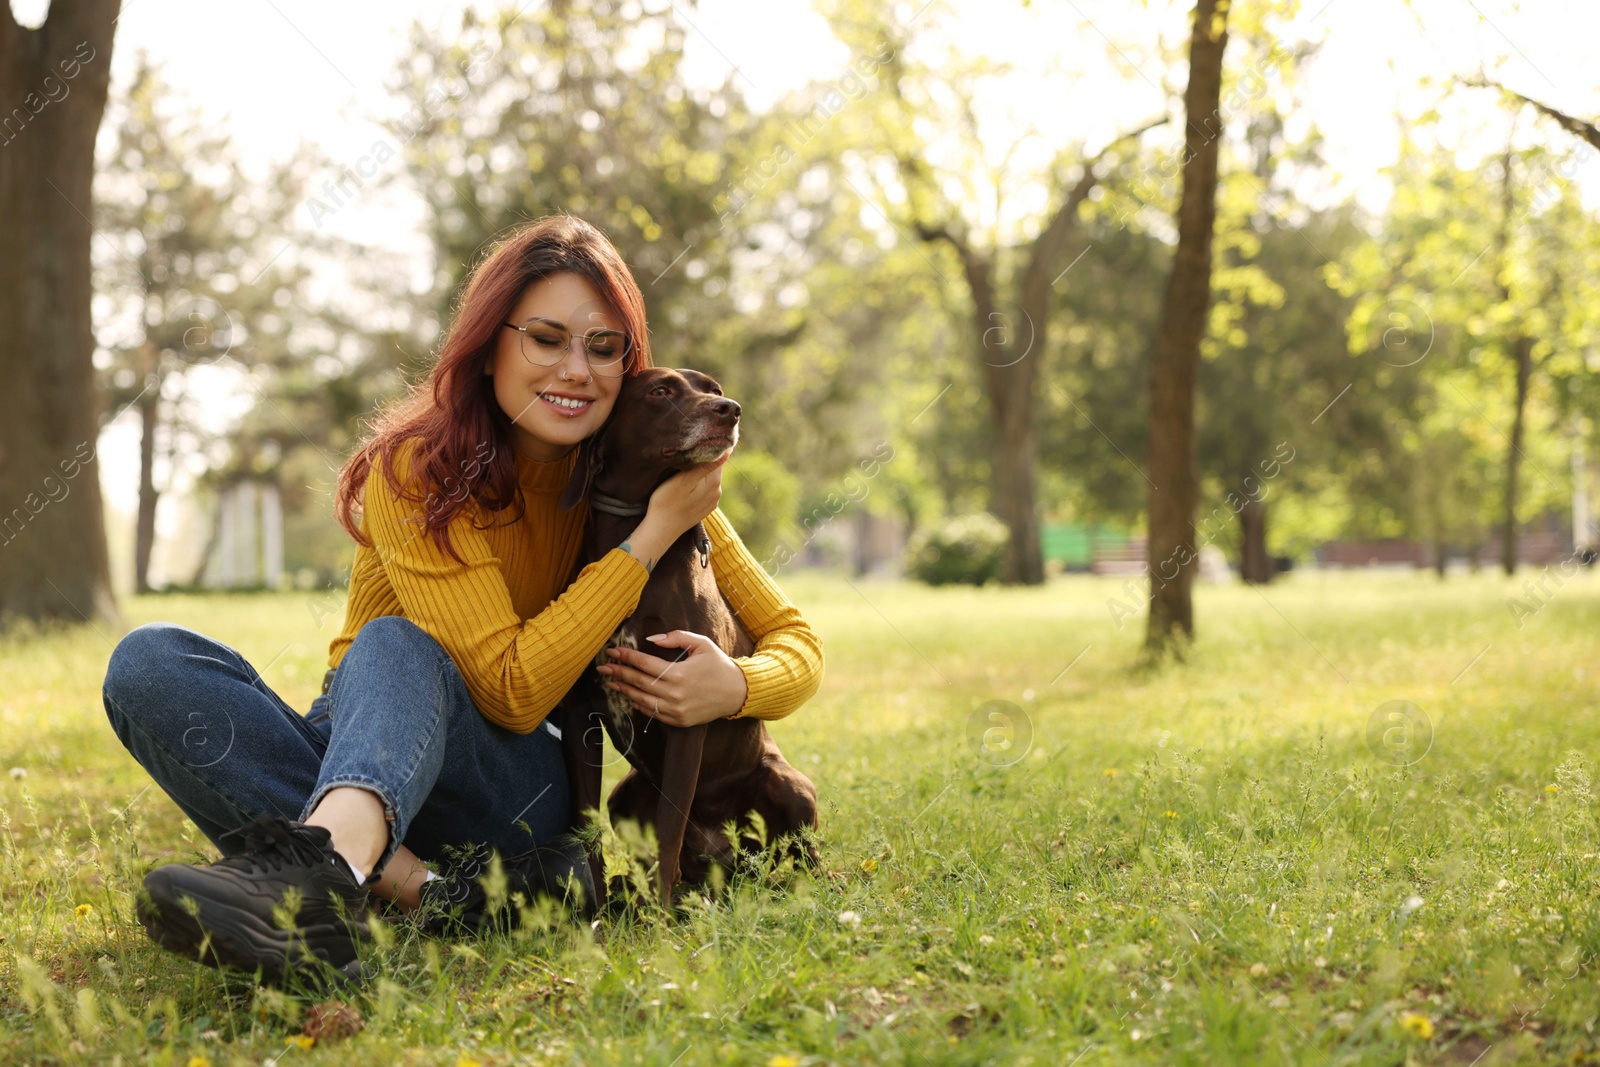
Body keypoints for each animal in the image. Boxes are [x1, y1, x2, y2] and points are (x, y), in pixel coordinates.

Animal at [553, 369, 819, 908]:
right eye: (660, 392)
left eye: (713, 389)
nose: (730, 409)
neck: (638, 536)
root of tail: (734, 866)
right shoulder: (579, 719)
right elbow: (588, 832)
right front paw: (599, 912)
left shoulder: (686, 713)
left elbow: (670, 831)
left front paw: (658, 917)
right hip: (627, 795)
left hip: (788, 784)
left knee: (804, 856)